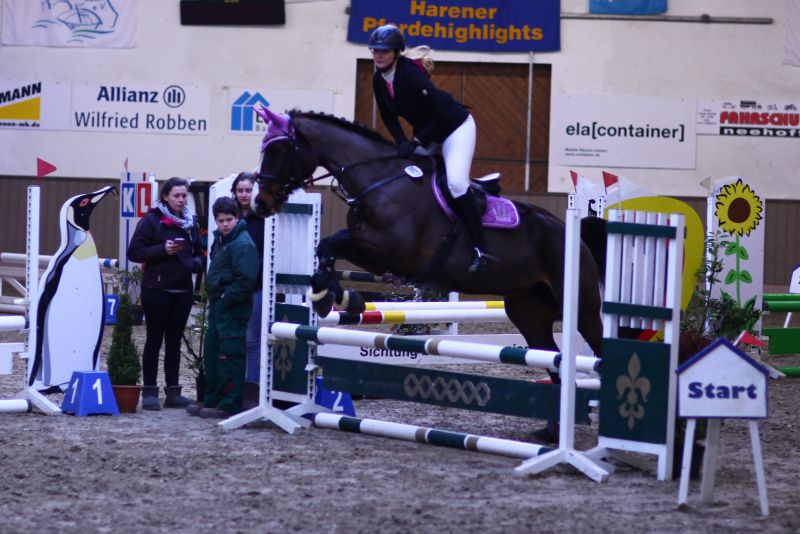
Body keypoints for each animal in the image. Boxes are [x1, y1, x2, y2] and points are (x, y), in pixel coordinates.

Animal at [252, 107, 606, 367]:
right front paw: (334, 296)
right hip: (527, 307)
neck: (381, 179)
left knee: (597, 344)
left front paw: (333, 296)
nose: (260, 203)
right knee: (550, 357)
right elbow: (326, 245)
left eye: (278, 149)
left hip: (581, 306)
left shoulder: (395, 250)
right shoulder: (374, 256)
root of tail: (572, 234)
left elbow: (334, 240)